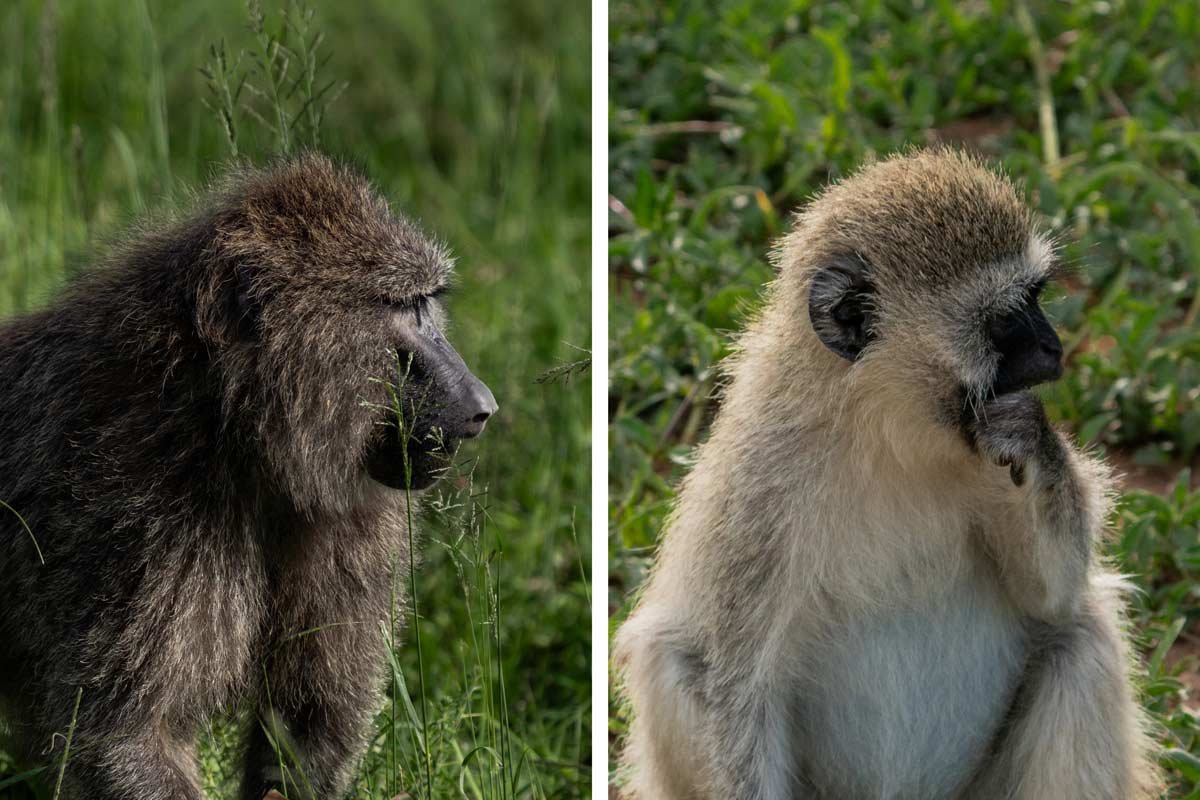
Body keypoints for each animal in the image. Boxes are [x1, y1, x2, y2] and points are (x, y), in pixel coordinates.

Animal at [0, 153, 497, 799]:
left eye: (427, 304)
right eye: (404, 309)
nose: (482, 405)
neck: (225, 420)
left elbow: (309, 721)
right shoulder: (129, 521)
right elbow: (127, 731)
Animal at [614, 149, 1161, 800]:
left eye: (1038, 296)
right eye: (1007, 319)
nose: (1055, 349)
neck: (885, 437)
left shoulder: (978, 455)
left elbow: (1052, 597)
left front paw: (1031, 436)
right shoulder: (759, 492)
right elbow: (731, 682)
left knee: (1080, 636)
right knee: (672, 662)